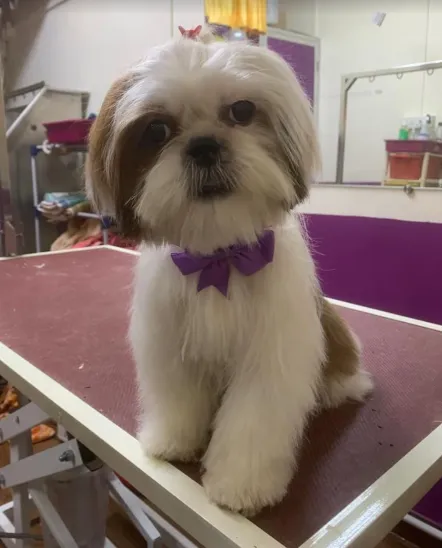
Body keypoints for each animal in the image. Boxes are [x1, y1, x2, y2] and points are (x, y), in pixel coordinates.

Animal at [86, 28, 373, 515]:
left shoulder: (270, 355)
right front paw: (173, 441)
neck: (218, 256)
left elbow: (253, 423)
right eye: (157, 129)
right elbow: (179, 398)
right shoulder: (171, 344)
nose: (203, 145)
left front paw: (241, 486)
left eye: (241, 111)